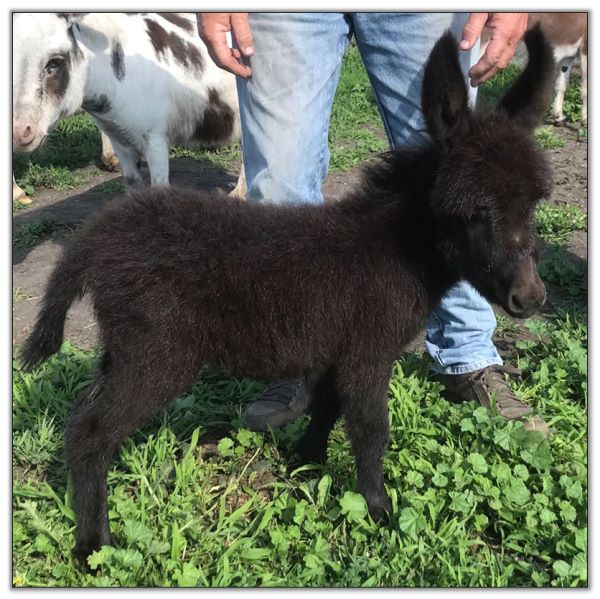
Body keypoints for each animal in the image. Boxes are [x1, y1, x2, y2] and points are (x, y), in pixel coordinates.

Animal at [19, 28, 552, 564]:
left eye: (531, 205)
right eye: (475, 213)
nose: (531, 298)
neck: (396, 247)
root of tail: (94, 239)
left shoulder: (340, 351)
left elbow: (328, 410)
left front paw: (307, 462)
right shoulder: (368, 353)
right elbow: (371, 430)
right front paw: (380, 511)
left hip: (122, 349)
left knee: (80, 417)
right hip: (158, 356)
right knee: (92, 432)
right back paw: (94, 546)